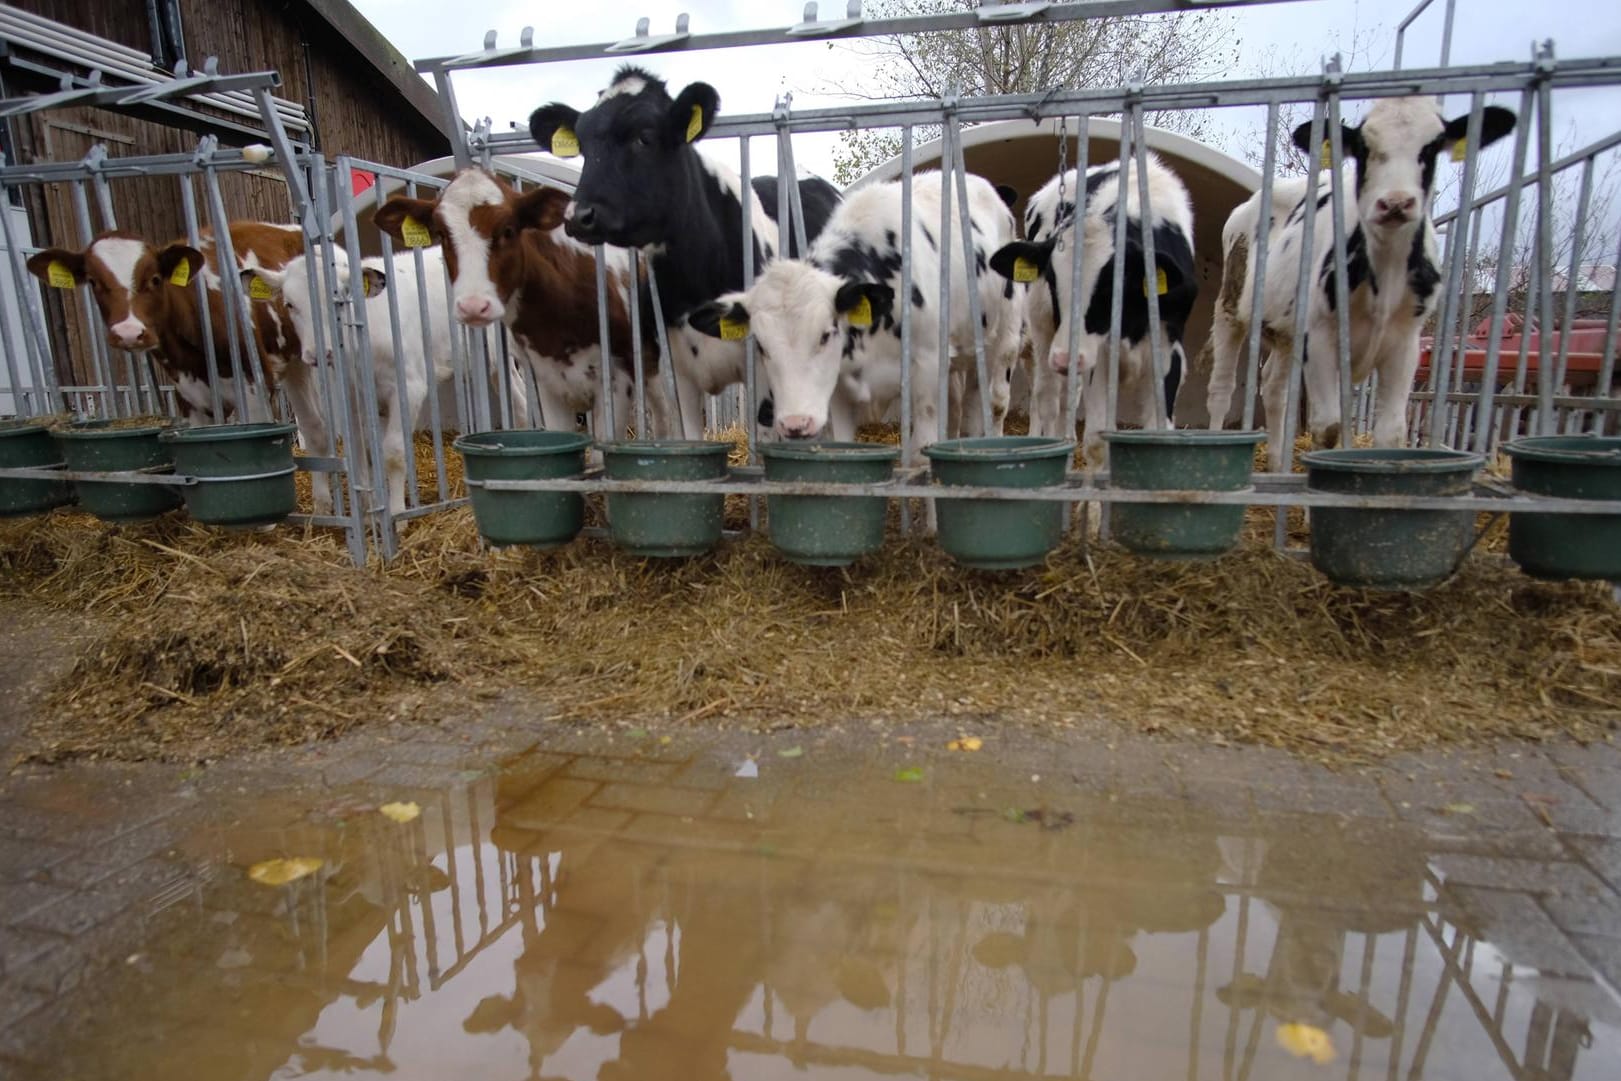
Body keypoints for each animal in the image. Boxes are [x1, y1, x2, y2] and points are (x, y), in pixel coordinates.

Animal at [528, 66, 842, 440]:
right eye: (583, 145)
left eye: (644, 137)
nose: (578, 215)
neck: (695, 280)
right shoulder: (676, 375)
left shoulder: (767, 371)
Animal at [680, 172, 1011, 457]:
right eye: (760, 346)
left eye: (826, 334)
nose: (795, 423)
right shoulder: (839, 389)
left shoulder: (927, 369)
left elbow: (920, 453)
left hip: (1004, 334)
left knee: (992, 402)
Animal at [979, 153, 1199, 463]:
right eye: (1052, 281)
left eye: (1111, 285)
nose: (1065, 359)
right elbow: (1096, 439)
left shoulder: (1169, 351)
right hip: (1043, 334)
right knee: (1047, 399)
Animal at [1206, 93, 1517, 466]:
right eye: (1364, 148)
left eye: (1431, 147)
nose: (1396, 202)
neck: (1385, 279)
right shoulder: (1320, 338)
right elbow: (1328, 427)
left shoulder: (1406, 344)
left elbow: (1390, 433)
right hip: (1230, 306)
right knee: (1221, 388)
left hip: (1285, 332)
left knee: (1273, 387)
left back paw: (1279, 464)